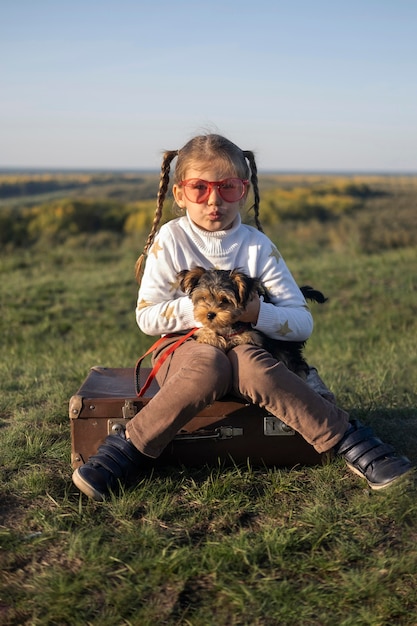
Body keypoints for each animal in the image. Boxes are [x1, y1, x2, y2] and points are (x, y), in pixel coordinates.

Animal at [177, 266, 326, 378]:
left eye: (225, 300)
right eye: (203, 298)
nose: (210, 314)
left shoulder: (255, 337)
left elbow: (244, 337)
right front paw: (210, 337)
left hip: (286, 346)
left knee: (295, 362)